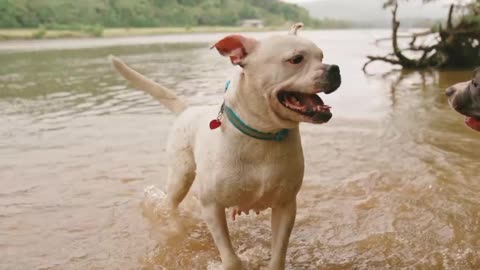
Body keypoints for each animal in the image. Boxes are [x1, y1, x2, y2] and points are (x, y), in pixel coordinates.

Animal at [109, 23, 342, 270]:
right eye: (296, 59)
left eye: (321, 56)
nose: (335, 69)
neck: (264, 134)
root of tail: (187, 110)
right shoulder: (212, 206)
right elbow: (231, 259)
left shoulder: (285, 206)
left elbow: (278, 255)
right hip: (180, 176)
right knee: (170, 204)